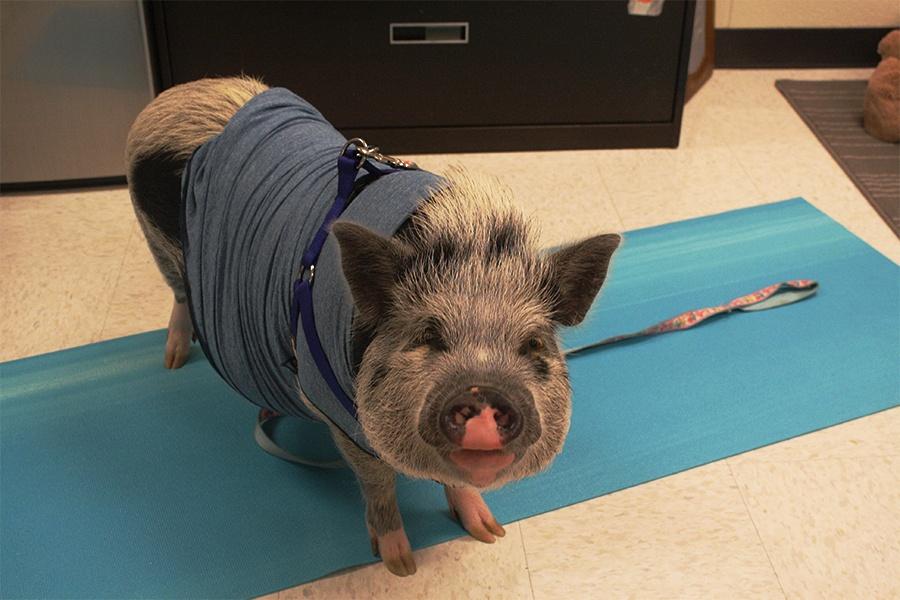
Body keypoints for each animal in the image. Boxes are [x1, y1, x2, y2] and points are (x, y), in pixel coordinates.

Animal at [125, 77, 620, 576]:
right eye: (427, 336)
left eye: (533, 344)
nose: (483, 392)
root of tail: (182, 92)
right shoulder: (336, 411)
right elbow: (378, 481)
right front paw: (400, 564)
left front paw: (488, 532)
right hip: (155, 243)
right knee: (180, 295)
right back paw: (173, 361)